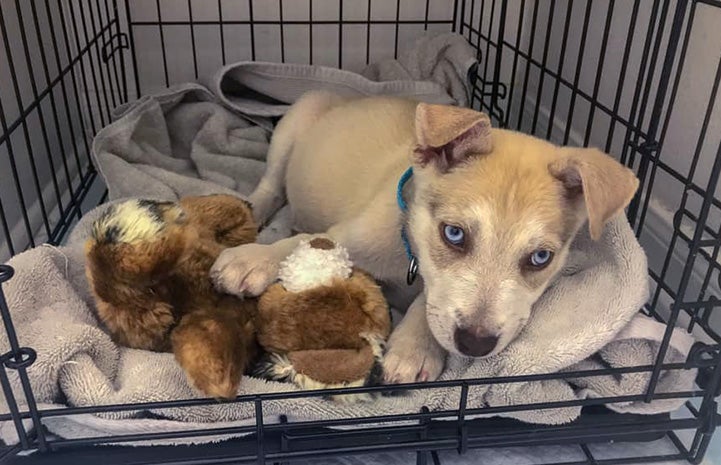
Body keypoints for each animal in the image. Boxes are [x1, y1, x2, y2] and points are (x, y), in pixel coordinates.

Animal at [208, 92, 636, 382]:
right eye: (454, 234)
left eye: (540, 258)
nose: (476, 344)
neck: (407, 255)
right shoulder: (348, 235)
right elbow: (310, 243)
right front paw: (252, 259)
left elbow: (430, 304)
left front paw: (415, 348)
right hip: (294, 123)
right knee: (272, 185)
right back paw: (256, 214)